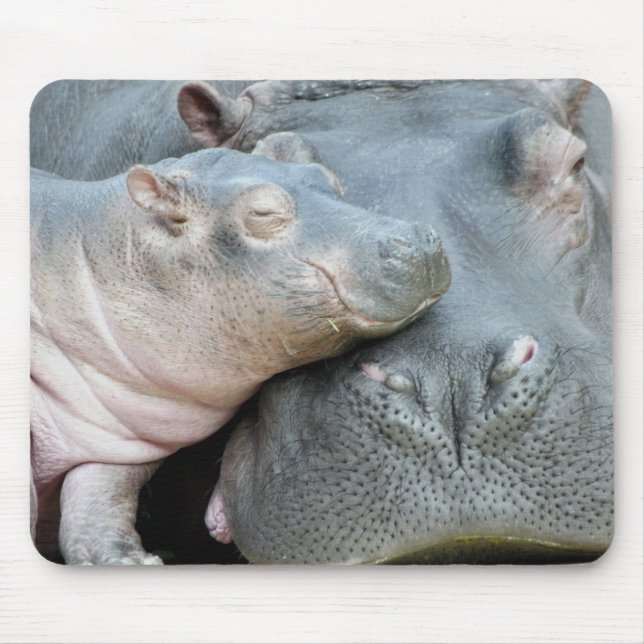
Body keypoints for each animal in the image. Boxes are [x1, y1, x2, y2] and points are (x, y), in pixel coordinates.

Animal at [30, 146, 450, 564]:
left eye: (328, 177)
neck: (84, 245)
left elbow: (102, 499)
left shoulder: (121, 434)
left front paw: (131, 562)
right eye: (262, 213)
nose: (417, 240)